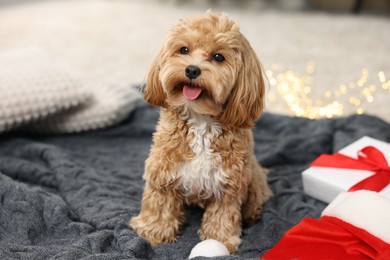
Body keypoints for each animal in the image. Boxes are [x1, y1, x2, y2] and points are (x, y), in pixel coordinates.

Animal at [129, 11, 272, 253]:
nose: (192, 69)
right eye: (184, 49)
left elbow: (222, 215)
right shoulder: (163, 172)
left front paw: (220, 240)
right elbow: (159, 203)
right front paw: (153, 231)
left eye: (218, 57)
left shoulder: (229, 185)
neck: (200, 120)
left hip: (253, 179)